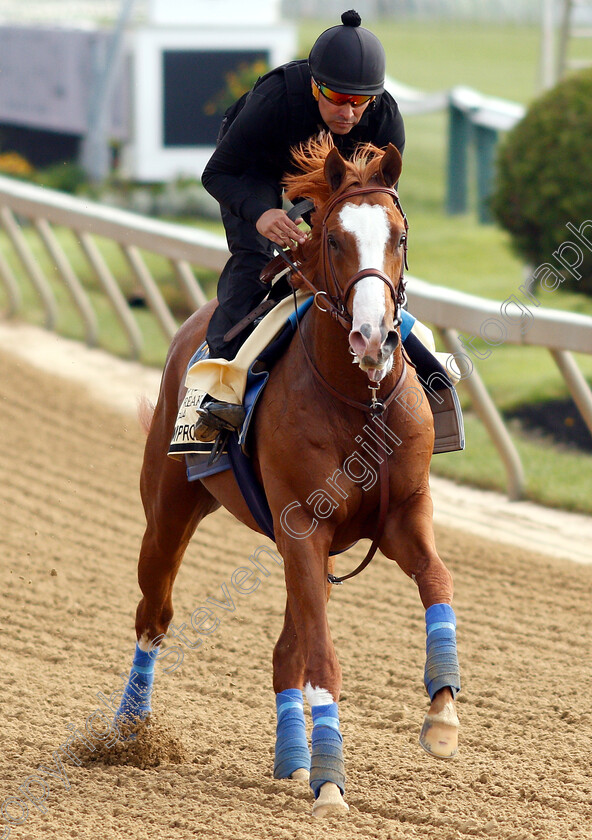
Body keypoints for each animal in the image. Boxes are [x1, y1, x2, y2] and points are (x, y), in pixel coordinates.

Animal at [117, 141, 462, 816]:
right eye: (331, 238)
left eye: (401, 235)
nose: (373, 336)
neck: (358, 399)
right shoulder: (303, 525)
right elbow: (323, 656)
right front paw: (331, 783)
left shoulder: (402, 512)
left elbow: (437, 580)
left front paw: (441, 716)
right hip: (169, 510)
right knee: (155, 615)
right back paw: (128, 736)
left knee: (284, 652)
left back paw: (292, 759)